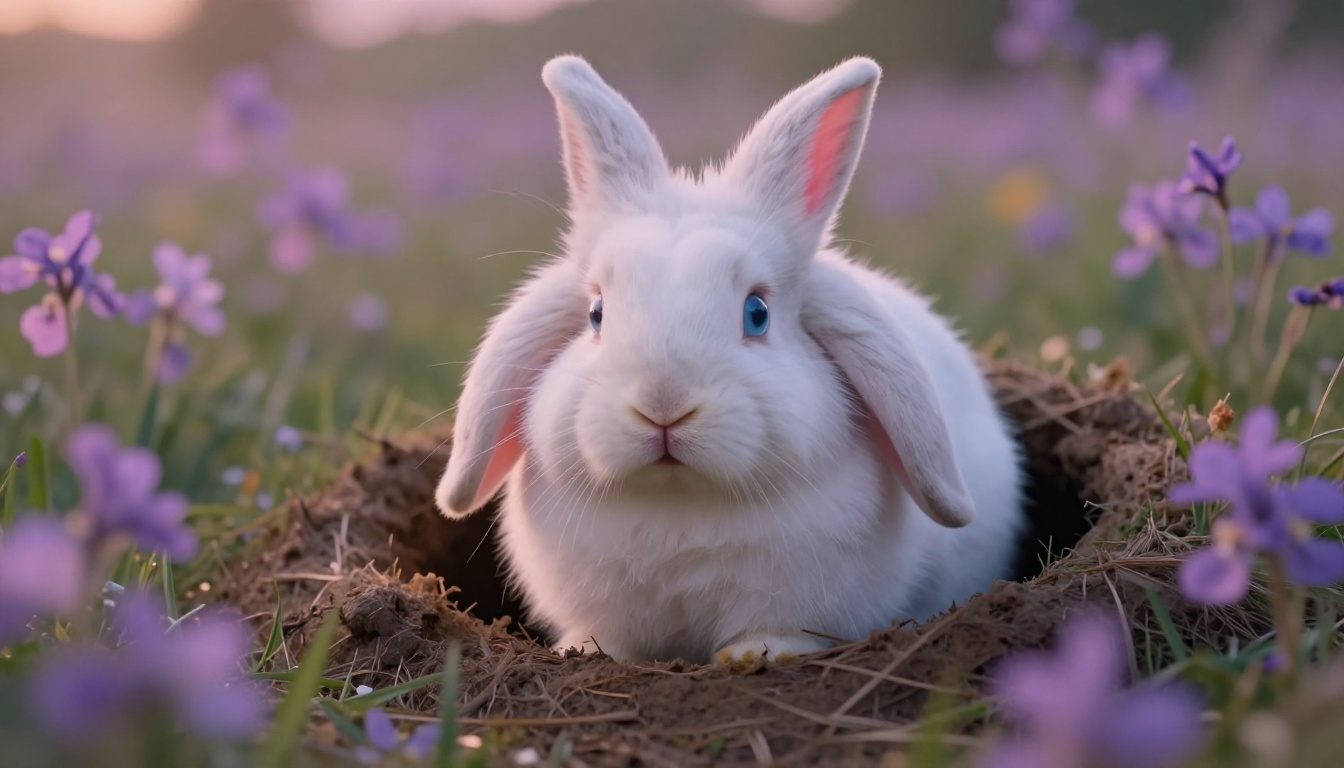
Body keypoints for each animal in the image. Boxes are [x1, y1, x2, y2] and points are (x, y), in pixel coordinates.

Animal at [435, 54, 1025, 665]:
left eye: (757, 313)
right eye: (596, 313)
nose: (663, 404)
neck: (679, 503)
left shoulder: (799, 602)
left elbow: (779, 630)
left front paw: (751, 657)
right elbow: (609, 638)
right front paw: (587, 653)